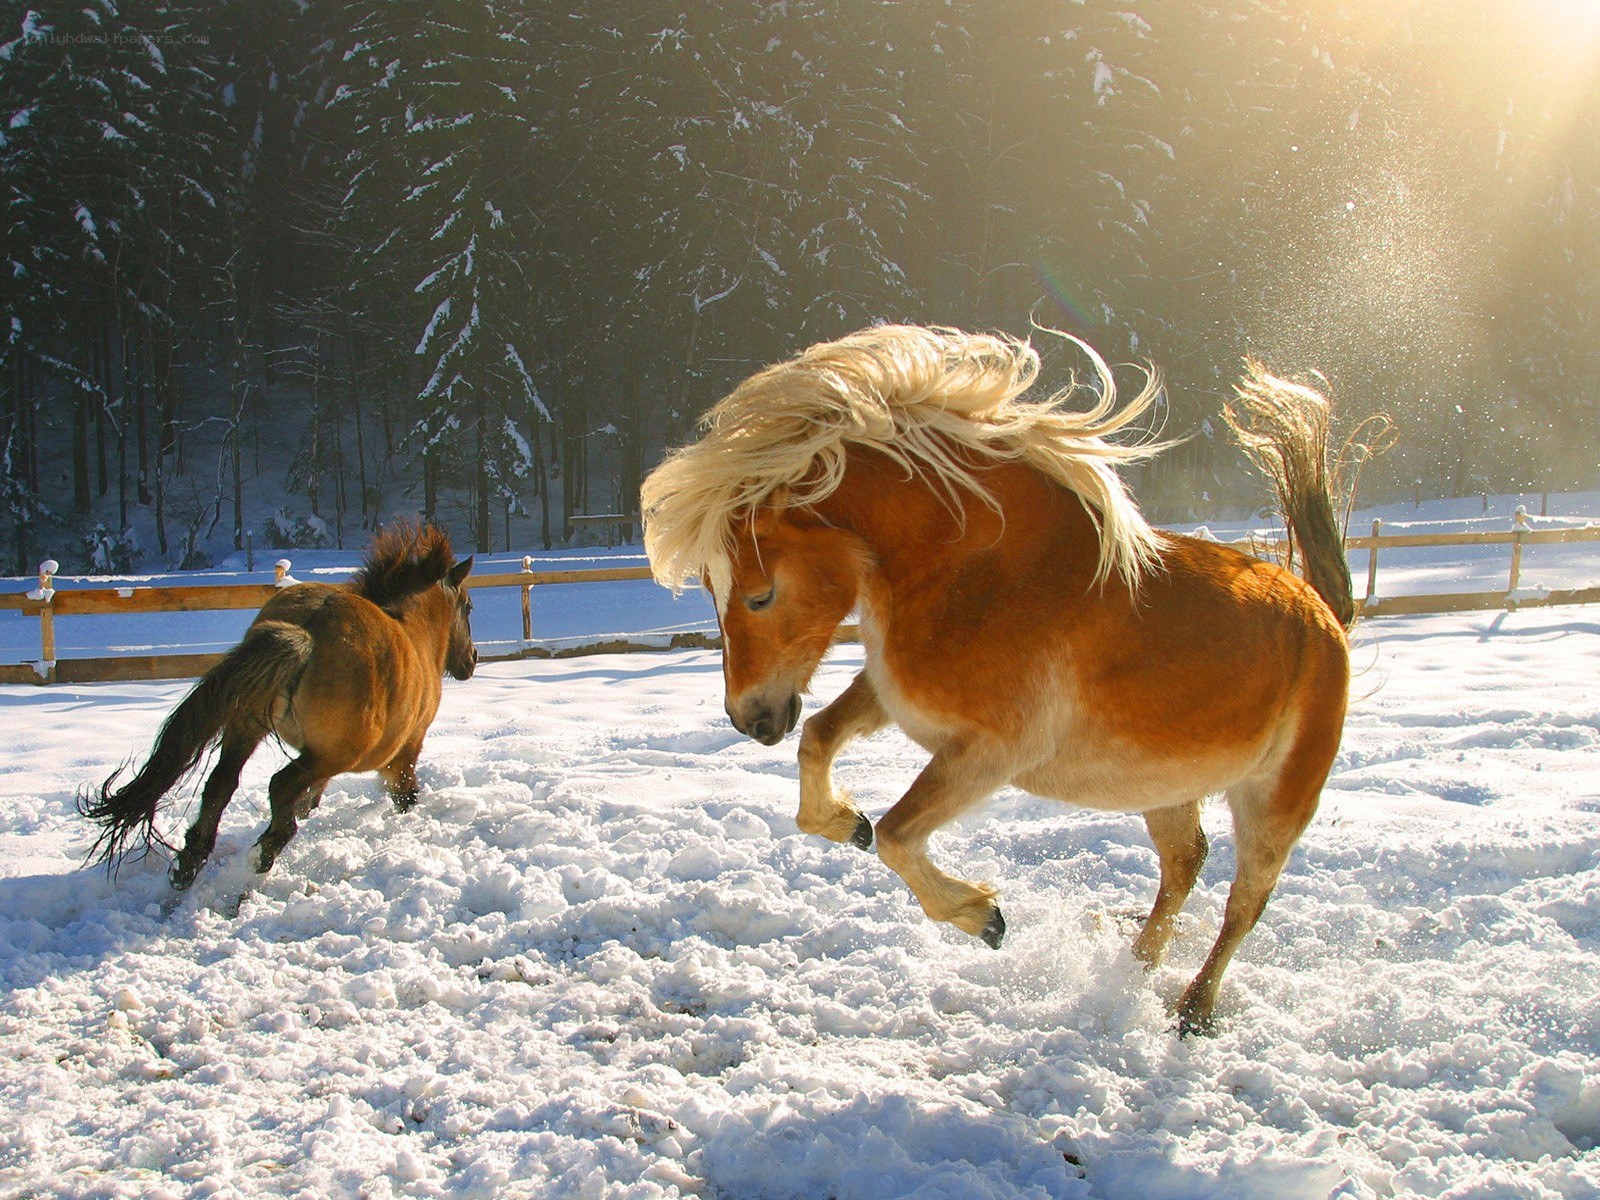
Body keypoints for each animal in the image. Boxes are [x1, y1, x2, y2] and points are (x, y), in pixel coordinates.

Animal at [81, 520, 478, 890]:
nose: (472, 660)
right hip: (335, 753)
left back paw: (189, 867)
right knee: (278, 786)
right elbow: (404, 796)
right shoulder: (404, 752)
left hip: (248, 727)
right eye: (468, 607)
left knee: (221, 783)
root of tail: (306, 630)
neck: (415, 634)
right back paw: (260, 859)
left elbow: (310, 799)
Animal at [641, 325, 1354, 1035]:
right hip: (1167, 788)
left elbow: (897, 836)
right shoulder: (893, 695)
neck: (982, 573)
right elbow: (818, 741)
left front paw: (983, 917)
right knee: (1185, 863)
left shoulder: (992, 752)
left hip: (1273, 802)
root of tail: (1323, 615)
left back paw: (1193, 1010)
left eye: (759, 596)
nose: (749, 720)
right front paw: (848, 823)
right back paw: (1133, 968)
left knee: (1246, 902)